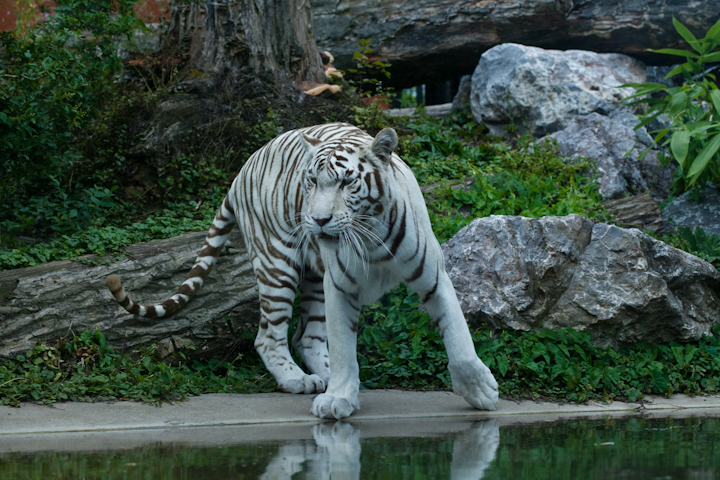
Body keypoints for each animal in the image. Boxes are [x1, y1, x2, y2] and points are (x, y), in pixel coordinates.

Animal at [106, 122, 499, 419]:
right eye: (311, 182)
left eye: (346, 182)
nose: (318, 219)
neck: (370, 236)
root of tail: (241, 170)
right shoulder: (340, 286)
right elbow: (342, 346)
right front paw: (339, 398)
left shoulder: (433, 278)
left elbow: (459, 339)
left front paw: (480, 391)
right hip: (278, 264)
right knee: (269, 336)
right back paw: (298, 380)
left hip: (313, 277)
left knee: (305, 336)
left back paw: (328, 378)